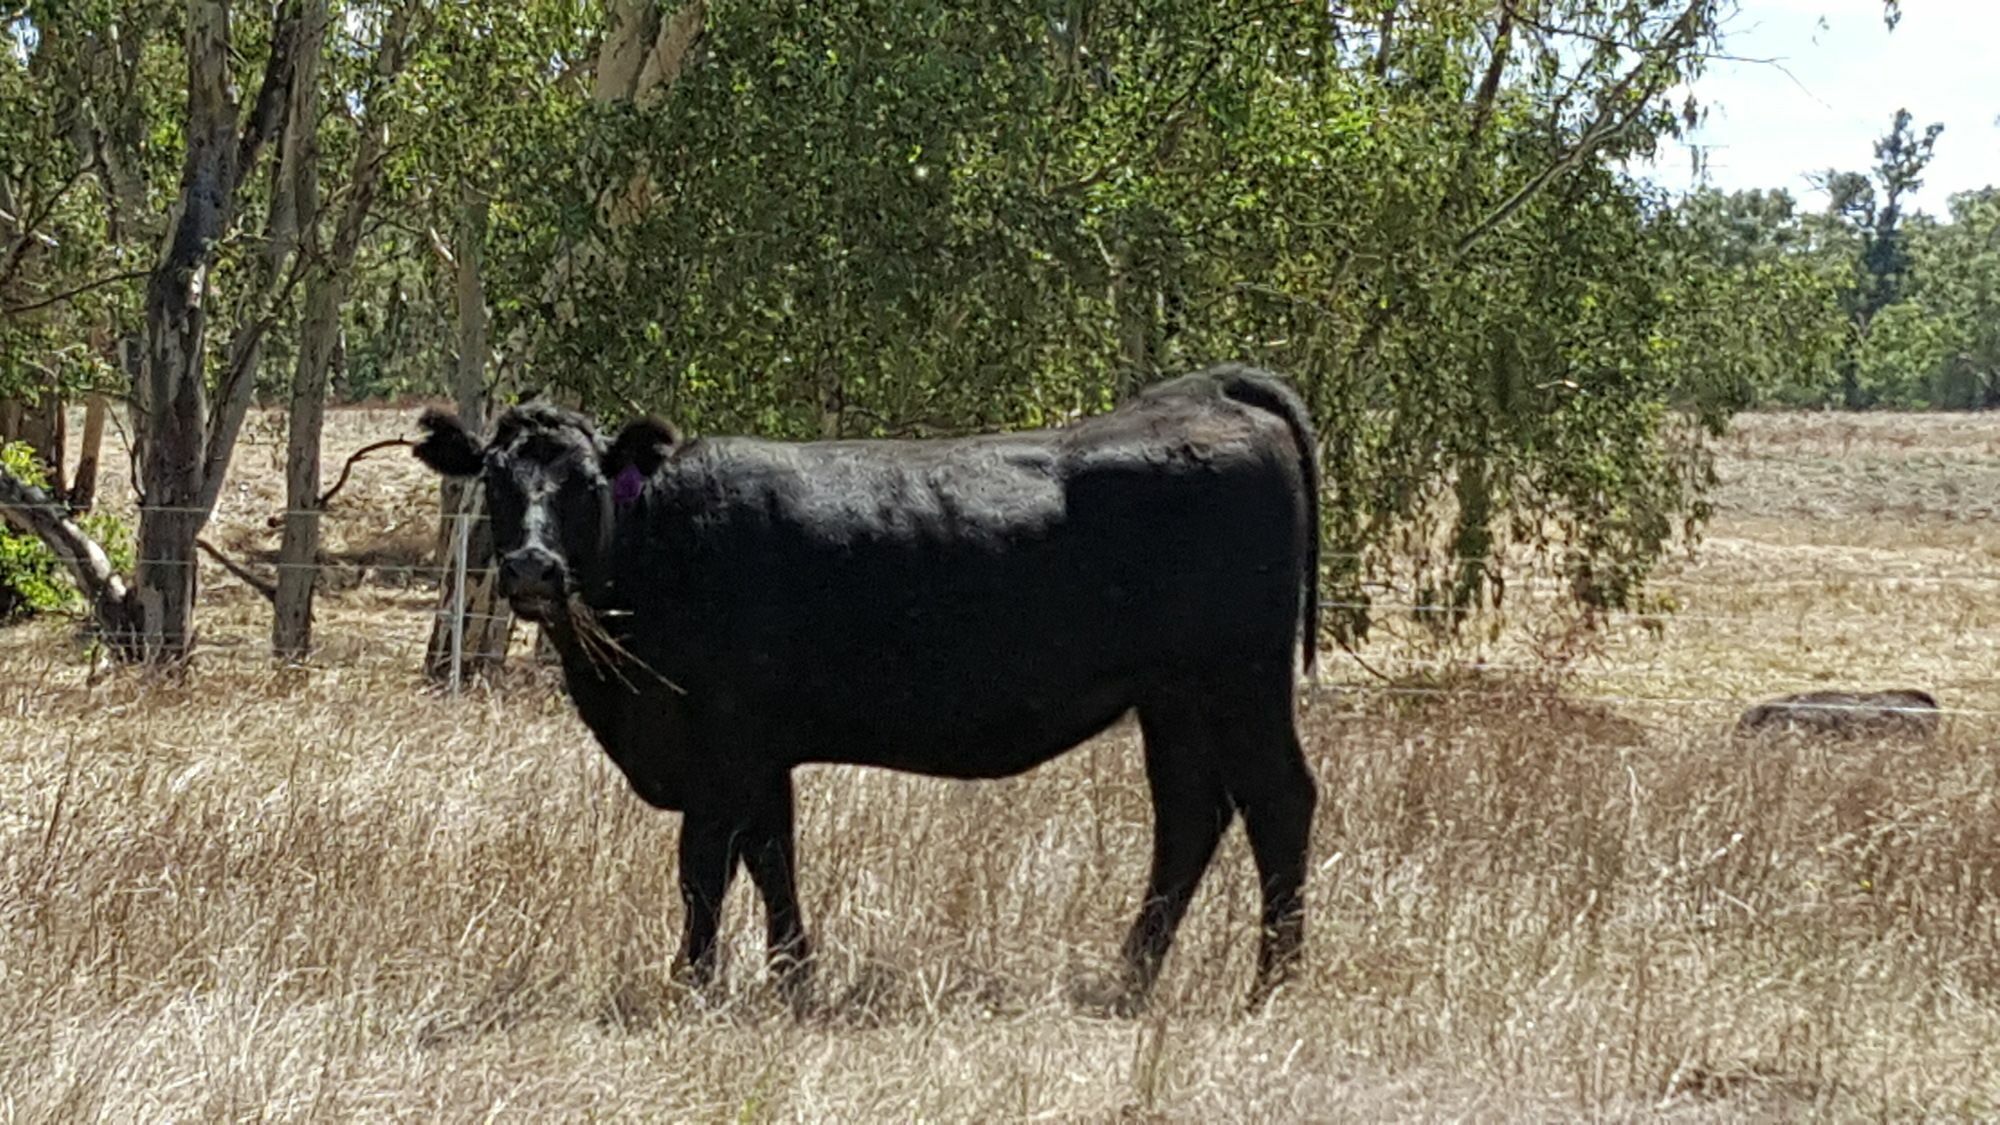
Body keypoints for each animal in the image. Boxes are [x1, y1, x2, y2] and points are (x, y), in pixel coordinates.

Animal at [418, 366, 1328, 1008]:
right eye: (495, 479)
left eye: (585, 481)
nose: (532, 567)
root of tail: (1206, 389)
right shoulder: (758, 755)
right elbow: (771, 856)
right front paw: (792, 978)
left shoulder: (720, 743)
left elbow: (704, 866)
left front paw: (694, 982)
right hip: (1175, 699)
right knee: (1190, 814)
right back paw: (1129, 979)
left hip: (1239, 680)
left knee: (1278, 799)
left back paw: (1272, 985)